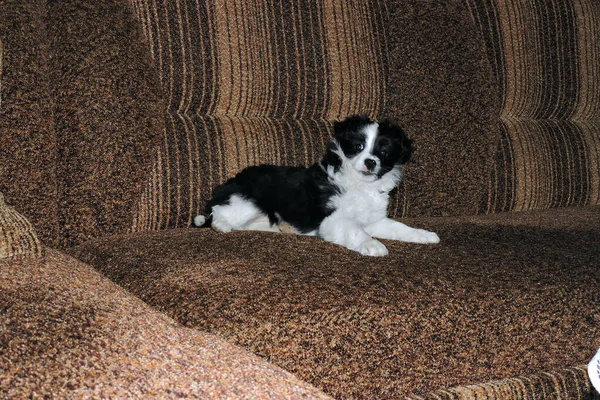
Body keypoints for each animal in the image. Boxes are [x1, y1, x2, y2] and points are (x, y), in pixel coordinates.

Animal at [195, 114, 438, 256]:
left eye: (384, 153)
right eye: (358, 146)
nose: (371, 162)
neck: (360, 185)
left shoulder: (373, 220)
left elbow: (399, 227)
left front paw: (423, 235)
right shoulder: (333, 219)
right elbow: (355, 231)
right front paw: (372, 245)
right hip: (246, 201)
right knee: (219, 213)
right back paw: (221, 225)